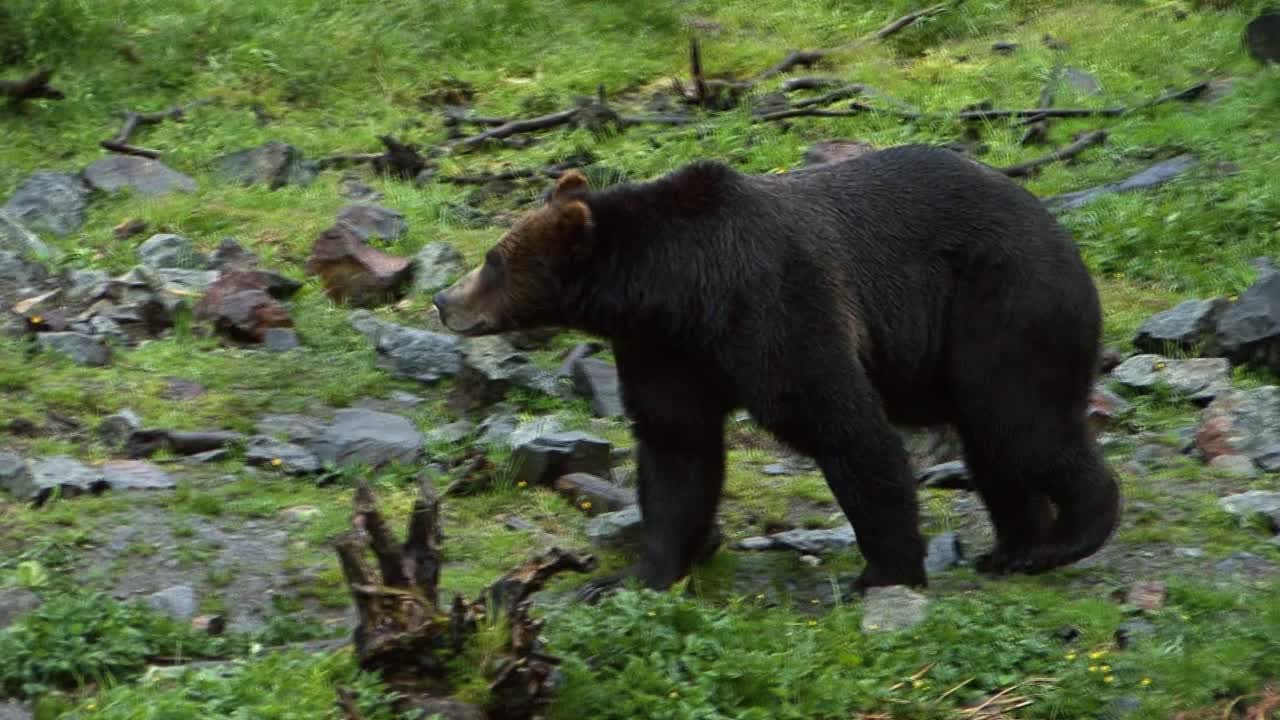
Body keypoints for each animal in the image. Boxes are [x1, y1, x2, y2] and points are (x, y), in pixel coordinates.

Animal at [433, 144, 1121, 599]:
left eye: (493, 259)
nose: (443, 299)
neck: (678, 290)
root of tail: (1064, 236)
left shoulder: (776, 304)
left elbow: (843, 426)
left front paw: (885, 573)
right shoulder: (666, 350)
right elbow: (676, 452)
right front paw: (633, 575)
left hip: (1002, 302)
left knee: (1017, 421)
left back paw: (1065, 539)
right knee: (993, 445)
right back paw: (1012, 548)